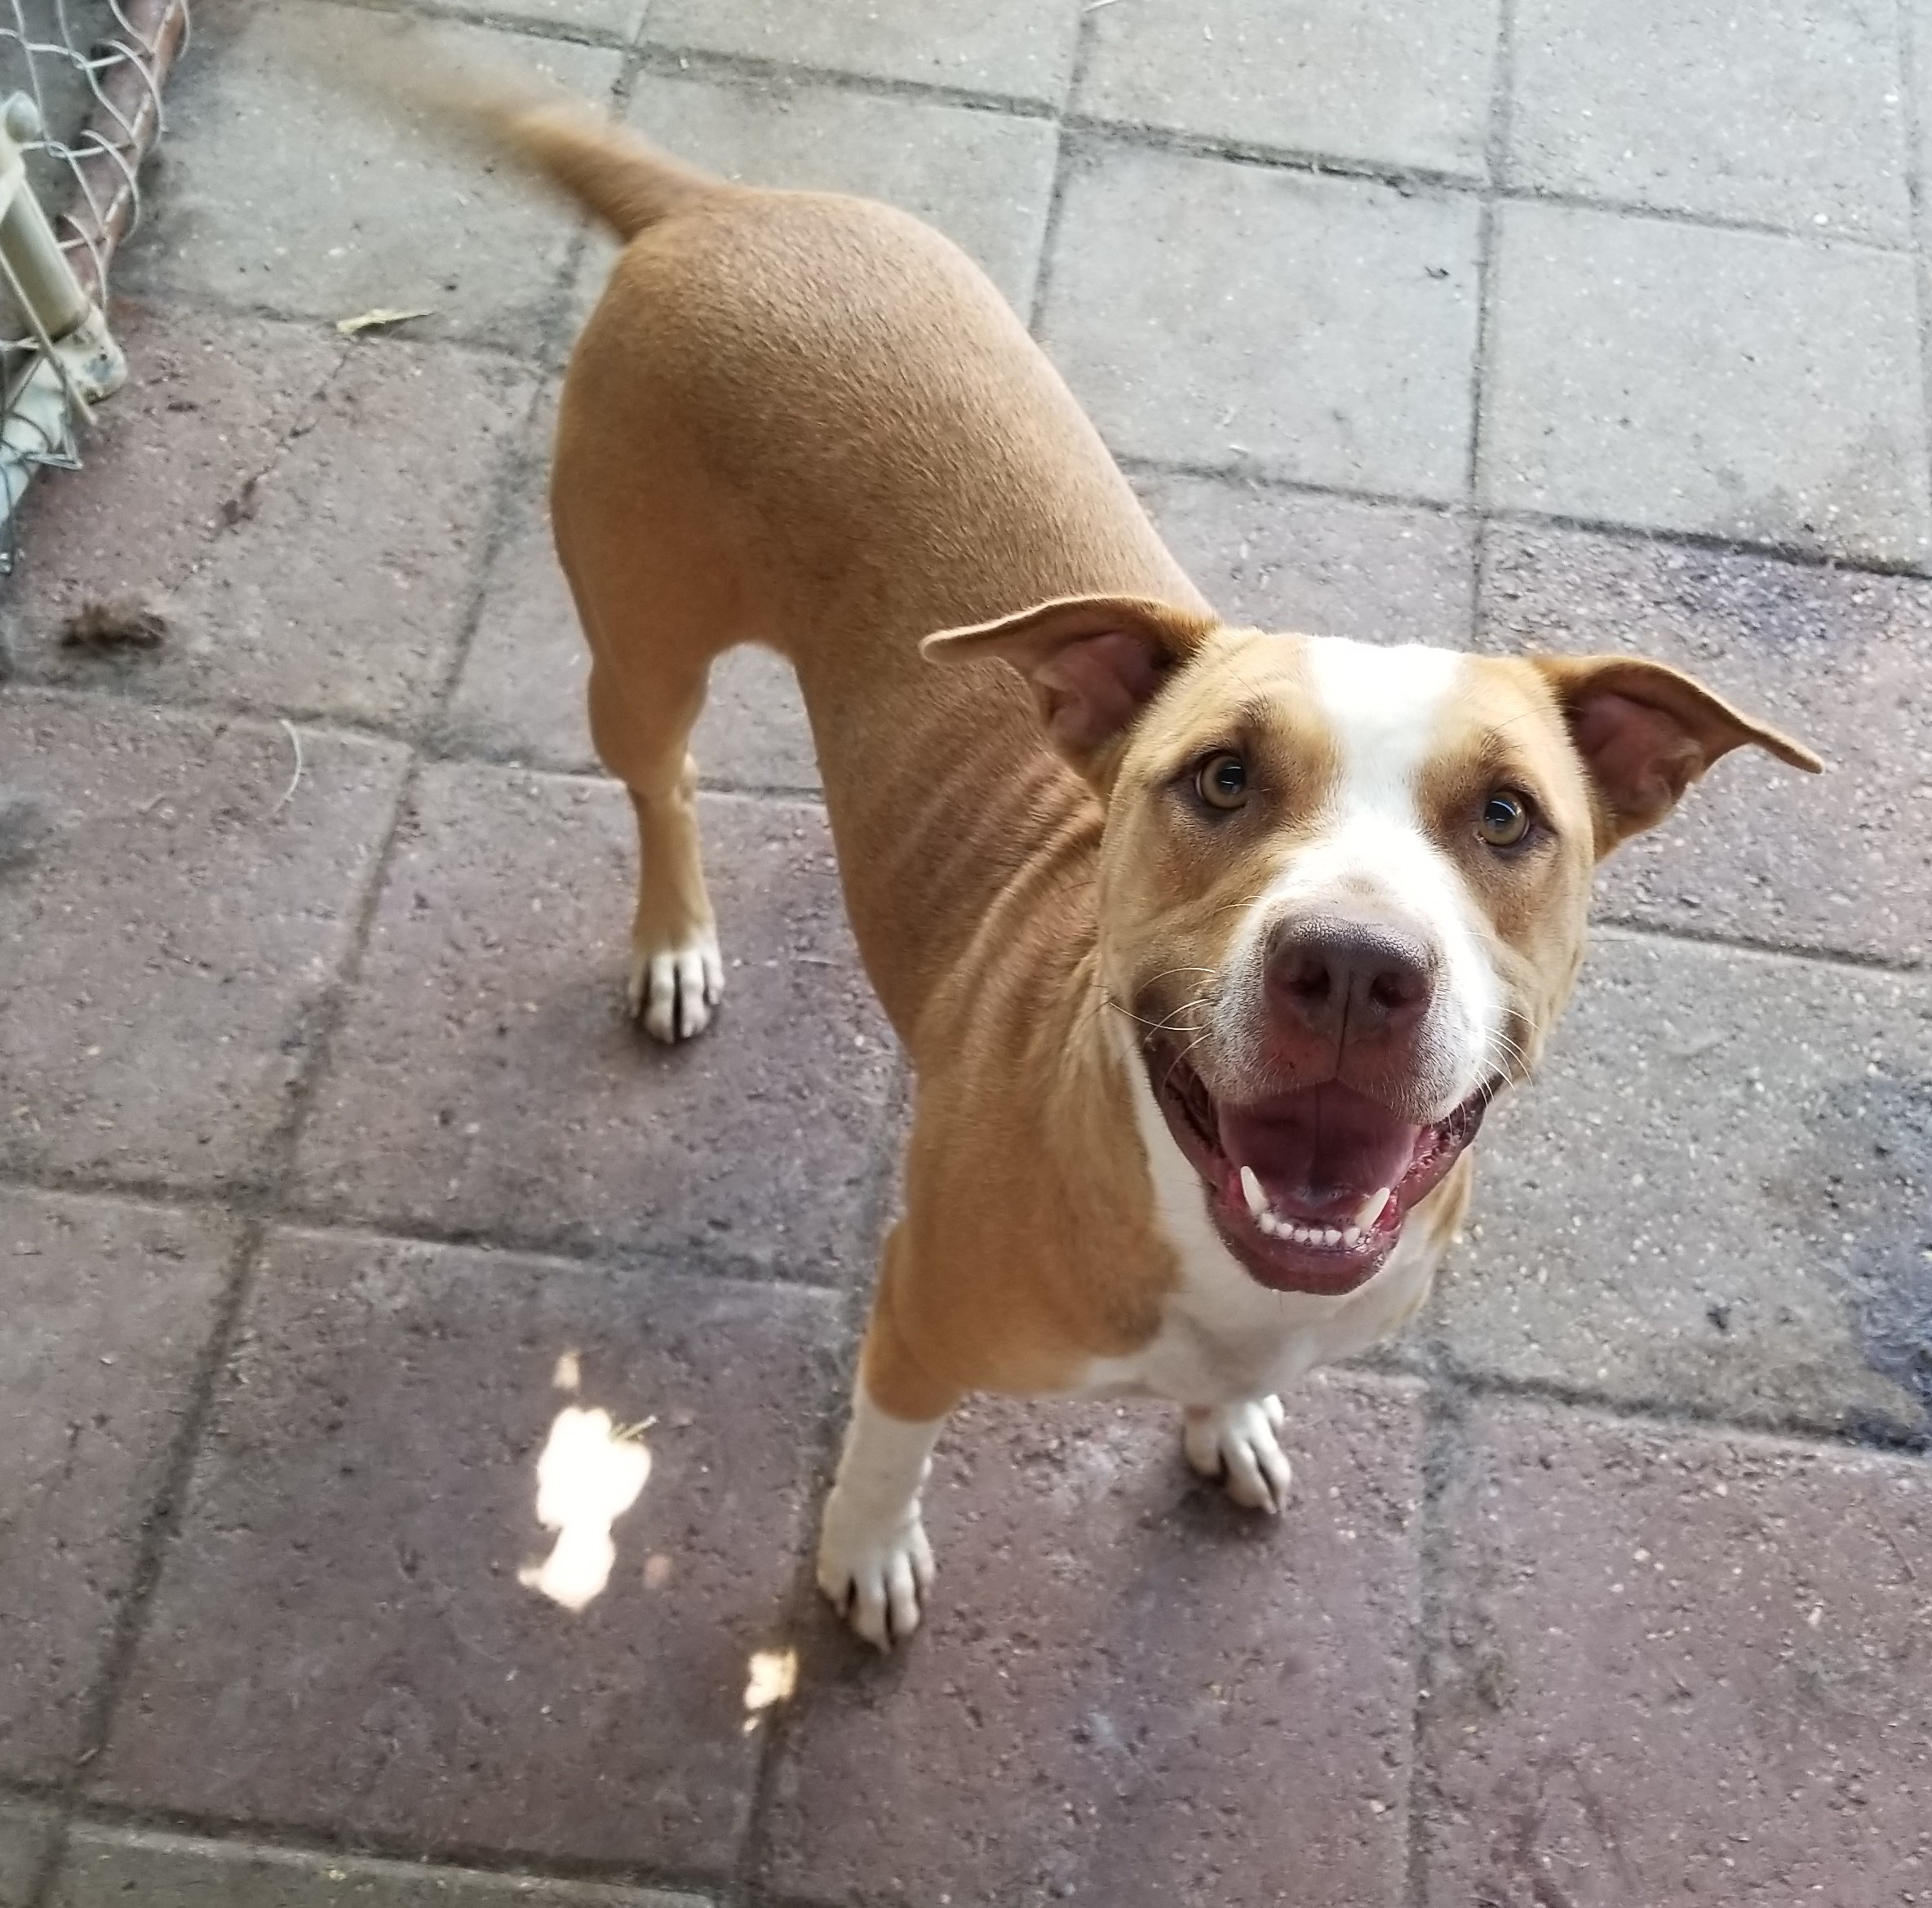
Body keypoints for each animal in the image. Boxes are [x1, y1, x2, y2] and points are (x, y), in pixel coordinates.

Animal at [459, 93, 1815, 1639]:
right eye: (1220, 777)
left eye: (1507, 816)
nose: (1352, 967)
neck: (1219, 1250)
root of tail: (717, 204)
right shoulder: (915, 1313)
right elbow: (885, 1449)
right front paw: (865, 1555)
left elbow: (1236, 1389)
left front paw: (1226, 1424)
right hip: (640, 650)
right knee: (662, 780)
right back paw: (675, 942)